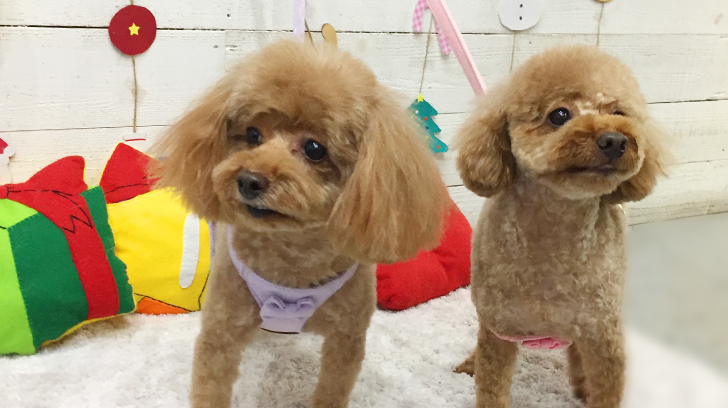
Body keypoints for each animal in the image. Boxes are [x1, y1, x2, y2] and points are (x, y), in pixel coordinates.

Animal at [153, 39, 448, 408]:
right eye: (252, 134)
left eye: (315, 149)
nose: (249, 180)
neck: (293, 257)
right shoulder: (220, 333)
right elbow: (211, 387)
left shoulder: (347, 339)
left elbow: (332, 389)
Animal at [454, 45, 668, 408]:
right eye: (559, 115)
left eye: (619, 112)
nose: (615, 140)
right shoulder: (500, 327)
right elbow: (492, 384)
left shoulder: (602, 335)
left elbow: (606, 388)